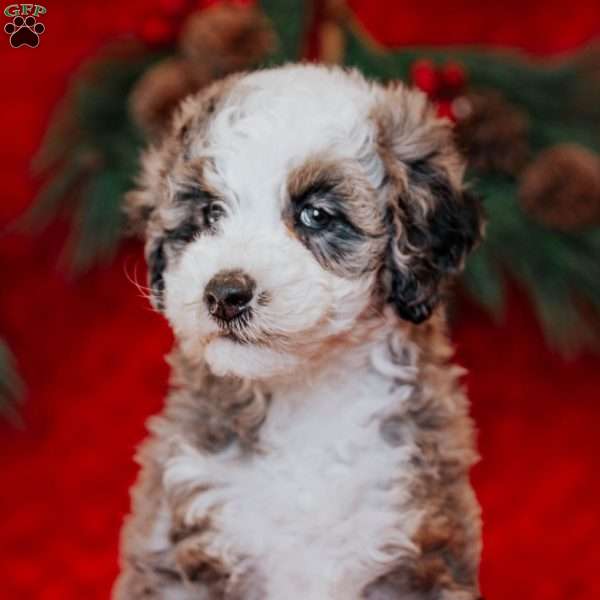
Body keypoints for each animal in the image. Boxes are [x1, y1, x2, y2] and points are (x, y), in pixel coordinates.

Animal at [115, 63, 486, 596]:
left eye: (316, 215)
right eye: (210, 213)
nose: (225, 293)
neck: (308, 401)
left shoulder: (417, 546)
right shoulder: (187, 546)